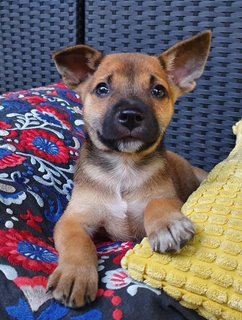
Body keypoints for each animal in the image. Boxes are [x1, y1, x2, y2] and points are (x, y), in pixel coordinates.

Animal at [48, 30, 211, 308]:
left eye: (158, 91)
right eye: (102, 89)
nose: (131, 115)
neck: (123, 166)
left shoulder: (167, 197)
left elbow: (158, 203)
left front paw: (167, 226)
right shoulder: (73, 219)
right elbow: (78, 244)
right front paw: (75, 275)